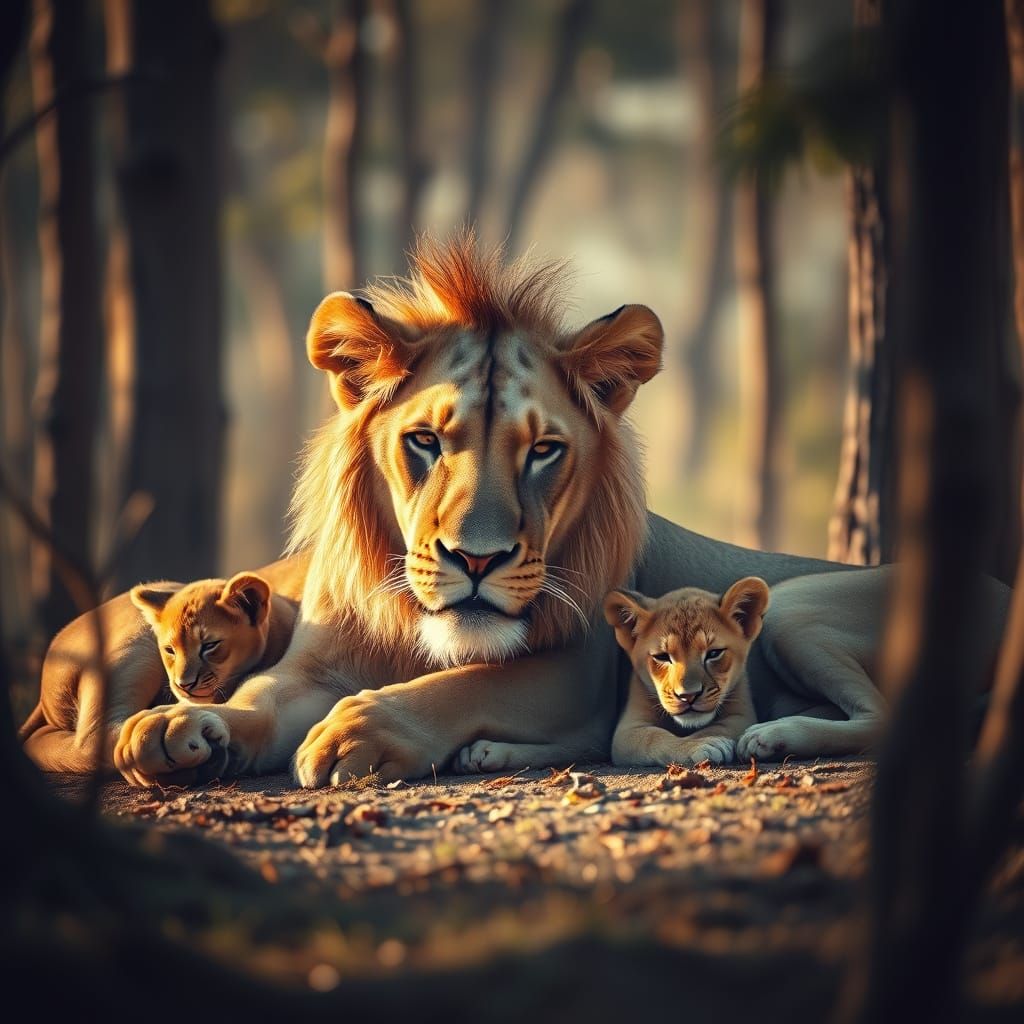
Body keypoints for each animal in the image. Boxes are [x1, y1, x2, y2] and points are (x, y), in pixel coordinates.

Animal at [109, 234, 1010, 789]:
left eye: (543, 450)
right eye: (425, 441)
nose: (477, 560)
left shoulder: (576, 666)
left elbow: (463, 682)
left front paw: (356, 731)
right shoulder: (314, 665)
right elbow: (260, 695)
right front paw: (172, 727)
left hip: (794, 607)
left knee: (886, 716)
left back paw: (774, 737)